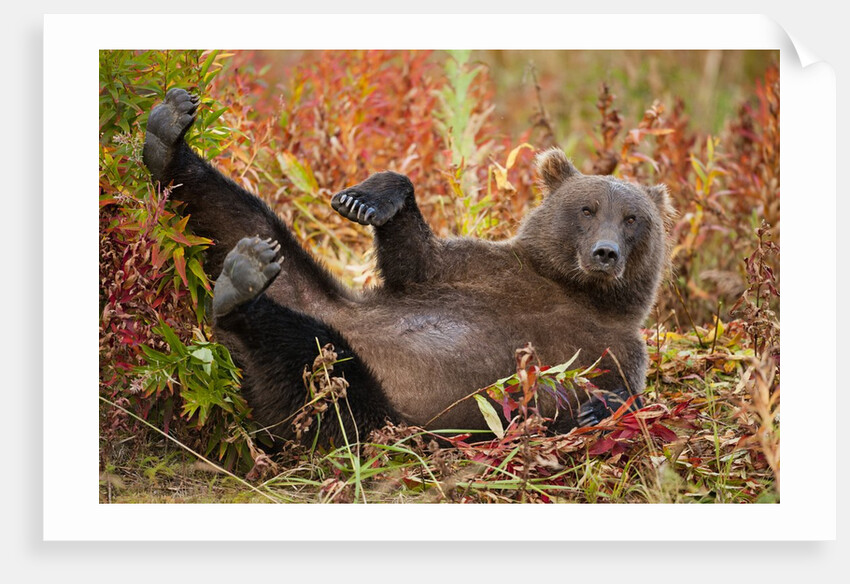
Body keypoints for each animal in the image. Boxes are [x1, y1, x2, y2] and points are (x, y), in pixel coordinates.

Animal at [142, 88, 673, 448]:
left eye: (632, 218)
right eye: (587, 209)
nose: (605, 253)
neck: (571, 289)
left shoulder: (614, 346)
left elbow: (623, 393)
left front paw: (594, 409)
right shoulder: (487, 268)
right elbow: (416, 258)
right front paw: (367, 198)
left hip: (370, 407)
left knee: (305, 353)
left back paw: (241, 286)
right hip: (311, 294)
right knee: (239, 218)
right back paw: (168, 135)